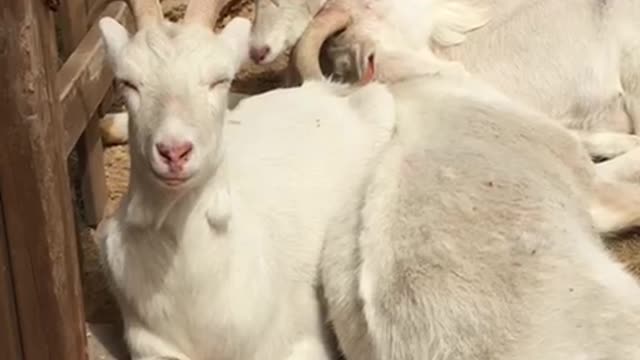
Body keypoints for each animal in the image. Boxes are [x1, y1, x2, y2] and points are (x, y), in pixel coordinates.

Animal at [95, 1, 396, 358]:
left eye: (219, 80)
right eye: (127, 82)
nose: (174, 151)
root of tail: (318, 89)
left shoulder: (300, 340)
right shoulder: (148, 340)